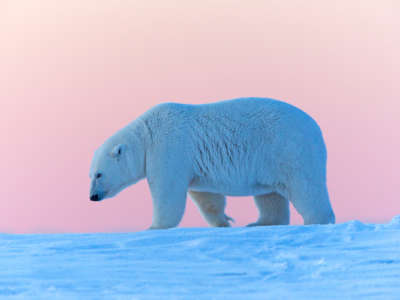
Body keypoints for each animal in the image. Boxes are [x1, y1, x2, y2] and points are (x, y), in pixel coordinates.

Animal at [90, 97, 334, 229]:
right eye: (90, 174)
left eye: (99, 174)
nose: (92, 197)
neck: (146, 135)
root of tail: (317, 128)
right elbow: (206, 197)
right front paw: (223, 221)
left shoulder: (168, 149)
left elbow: (167, 192)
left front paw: (154, 227)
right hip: (269, 162)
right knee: (270, 196)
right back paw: (259, 223)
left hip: (288, 149)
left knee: (306, 188)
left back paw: (317, 221)